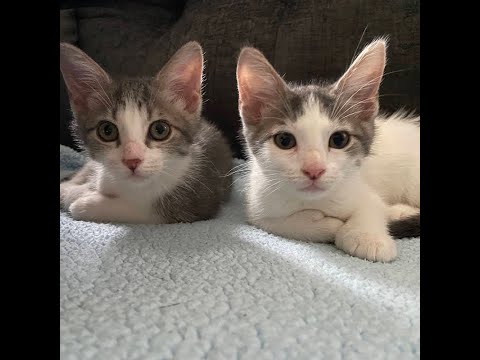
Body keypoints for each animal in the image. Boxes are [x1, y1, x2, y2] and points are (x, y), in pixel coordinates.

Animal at [60, 40, 232, 224]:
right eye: (107, 131)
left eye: (160, 130)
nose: (132, 161)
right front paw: (74, 191)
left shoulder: (196, 203)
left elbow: (141, 210)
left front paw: (84, 203)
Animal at [236, 38, 420, 262]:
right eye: (284, 140)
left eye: (339, 140)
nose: (314, 170)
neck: (315, 201)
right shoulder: (258, 206)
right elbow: (275, 223)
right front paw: (326, 225)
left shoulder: (360, 187)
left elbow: (371, 206)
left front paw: (367, 238)